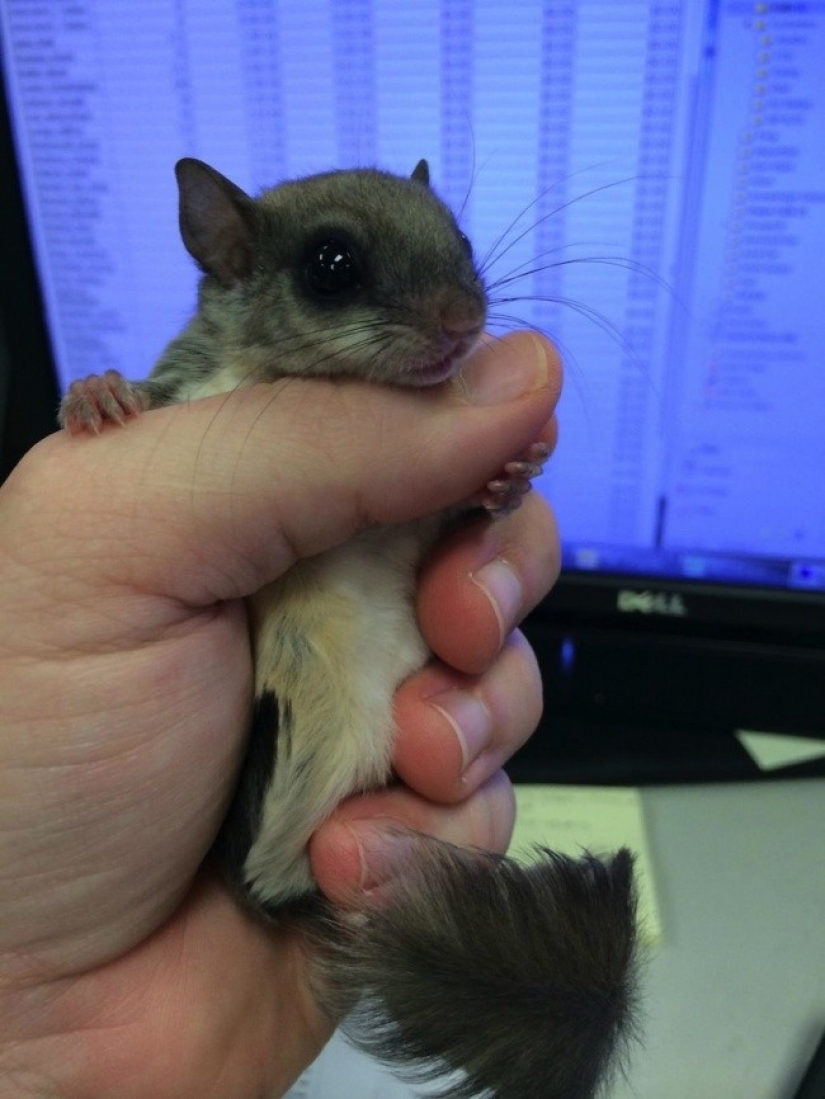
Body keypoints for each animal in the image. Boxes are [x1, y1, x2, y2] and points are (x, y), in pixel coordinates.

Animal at [59, 157, 637, 1099]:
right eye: (331, 265)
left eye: (460, 236)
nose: (464, 322)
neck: (266, 371)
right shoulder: (191, 384)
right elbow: (146, 393)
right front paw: (98, 392)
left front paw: (513, 476)